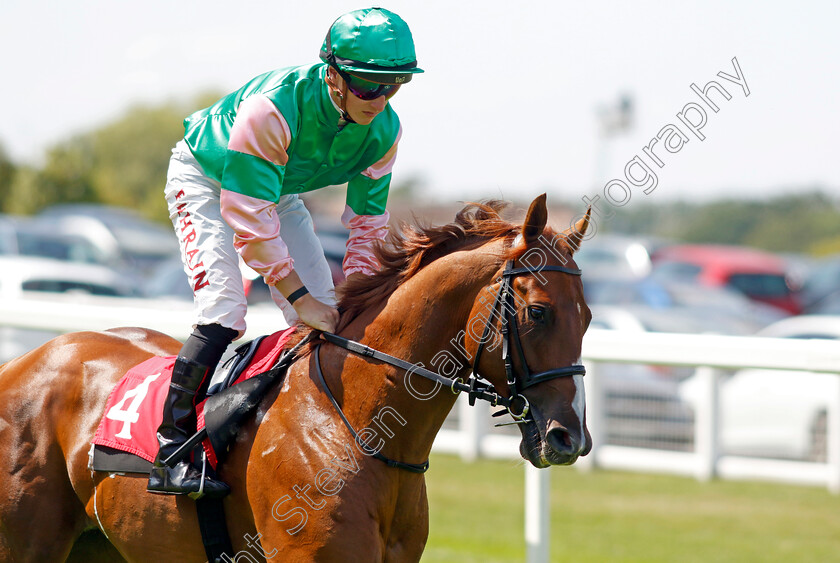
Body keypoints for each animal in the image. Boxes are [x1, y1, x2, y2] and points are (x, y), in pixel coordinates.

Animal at [0, 195, 592, 563]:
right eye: (538, 312)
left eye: (587, 318)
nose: (568, 439)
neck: (356, 425)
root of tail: (24, 362)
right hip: (27, 542)